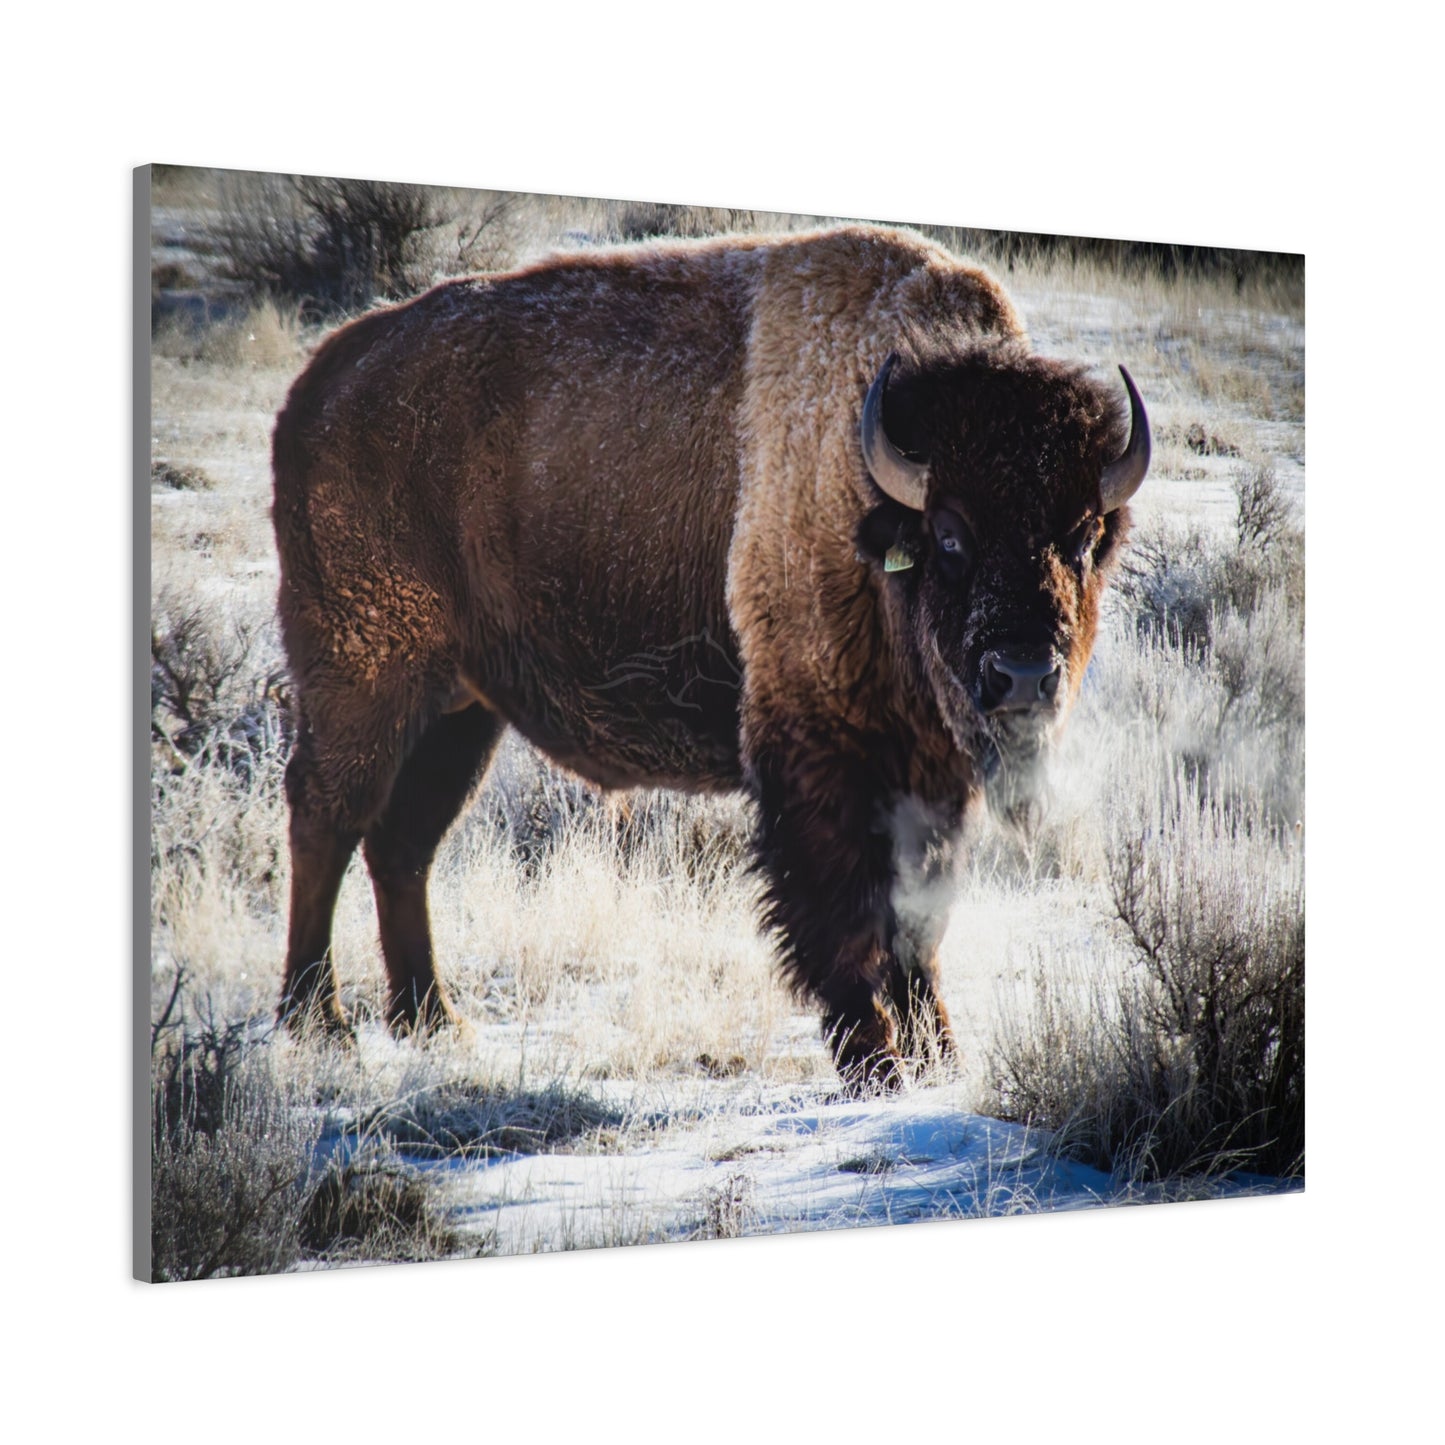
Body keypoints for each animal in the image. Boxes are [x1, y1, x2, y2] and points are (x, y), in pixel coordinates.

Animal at [271, 224, 1149, 1088]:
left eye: (1080, 537)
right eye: (950, 534)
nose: (1022, 675)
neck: (870, 494)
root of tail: (321, 381)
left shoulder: (930, 772)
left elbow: (917, 920)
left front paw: (940, 1058)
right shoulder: (820, 753)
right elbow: (844, 913)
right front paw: (876, 1064)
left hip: (460, 711)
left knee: (403, 844)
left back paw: (430, 1020)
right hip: (364, 678)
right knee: (327, 818)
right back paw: (319, 1021)